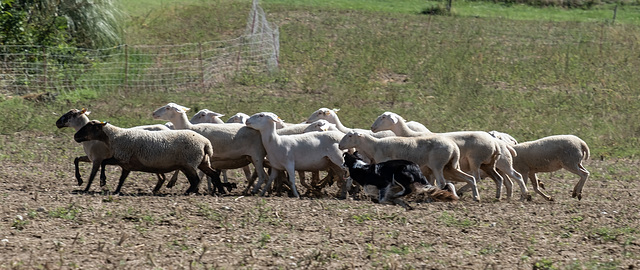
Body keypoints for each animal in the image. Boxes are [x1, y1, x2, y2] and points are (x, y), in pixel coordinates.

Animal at [70, 121, 222, 195]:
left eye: (89, 127)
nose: (75, 136)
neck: (114, 136)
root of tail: (206, 144)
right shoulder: (125, 164)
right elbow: (121, 178)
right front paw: (116, 190)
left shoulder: (122, 158)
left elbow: (103, 163)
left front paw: (103, 181)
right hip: (201, 162)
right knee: (213, 174)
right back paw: (220, 191)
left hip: (189, 164)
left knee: (195, 180)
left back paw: (187, 192)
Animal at [336, 130, 480, 201]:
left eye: (350, 136)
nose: (340, 145)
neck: (374, 146)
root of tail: (454, 147)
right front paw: (348, 189)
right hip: (450, 167)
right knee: (470, 178)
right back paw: (476, 197)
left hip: (438, 165)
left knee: (441, 183)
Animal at [370, 110, 504, 199]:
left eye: (383, 117)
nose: (372, 127)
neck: (411, 135)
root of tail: (495, 144)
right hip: (488, 164)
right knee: (497, 178)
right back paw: (497, 196)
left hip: (474, 160)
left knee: (476, 177)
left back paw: (463, 191)